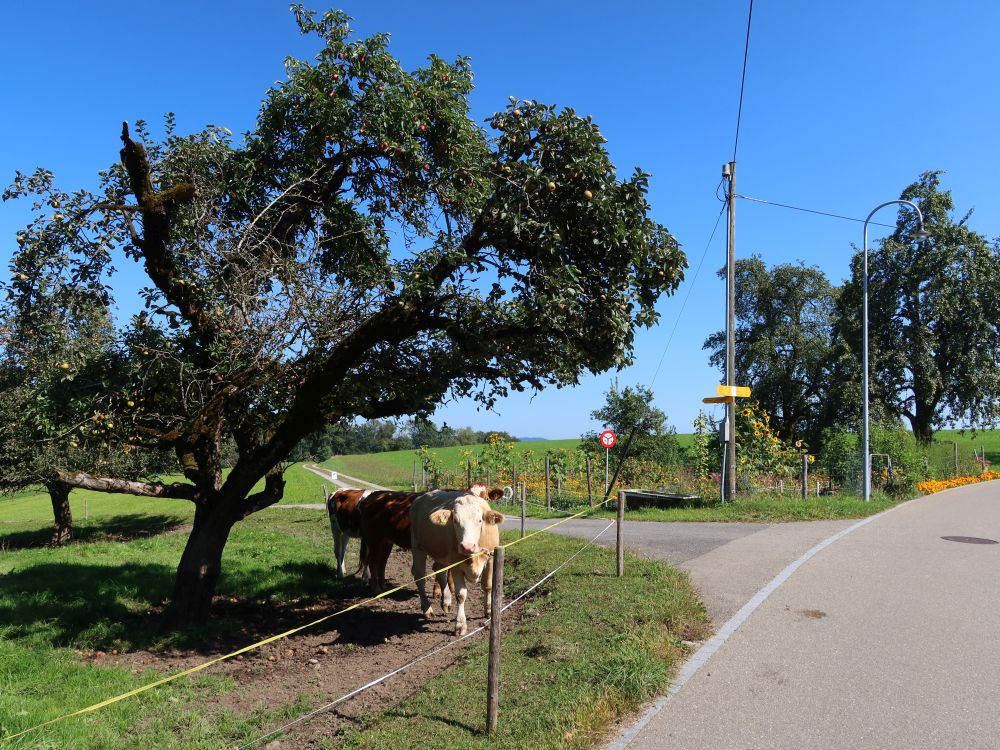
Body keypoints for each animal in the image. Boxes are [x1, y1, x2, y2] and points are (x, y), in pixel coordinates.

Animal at [408, 490, 504, 636]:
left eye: (480, 520)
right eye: (455, 520)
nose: (467, 546)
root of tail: (421, 497)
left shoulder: (491, 558)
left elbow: (487, 586)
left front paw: (488, 611)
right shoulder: (456, 565)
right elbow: (461, 595)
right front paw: (460, 624)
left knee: (439, 571)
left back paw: (446, 602)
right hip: (417, 545)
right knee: (419, 576)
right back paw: (427, 609)